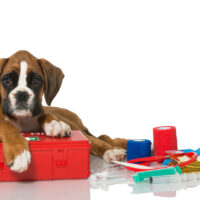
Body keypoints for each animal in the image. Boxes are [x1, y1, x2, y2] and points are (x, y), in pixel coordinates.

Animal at [0, 50, 128, 173]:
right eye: (7, 81)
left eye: (36, 82)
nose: (22, 94)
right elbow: (6, 126)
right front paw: (19, 152)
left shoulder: (42, 111)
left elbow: (46, 114)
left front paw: (56, 124)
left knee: (99, 139)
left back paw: (112, 151)